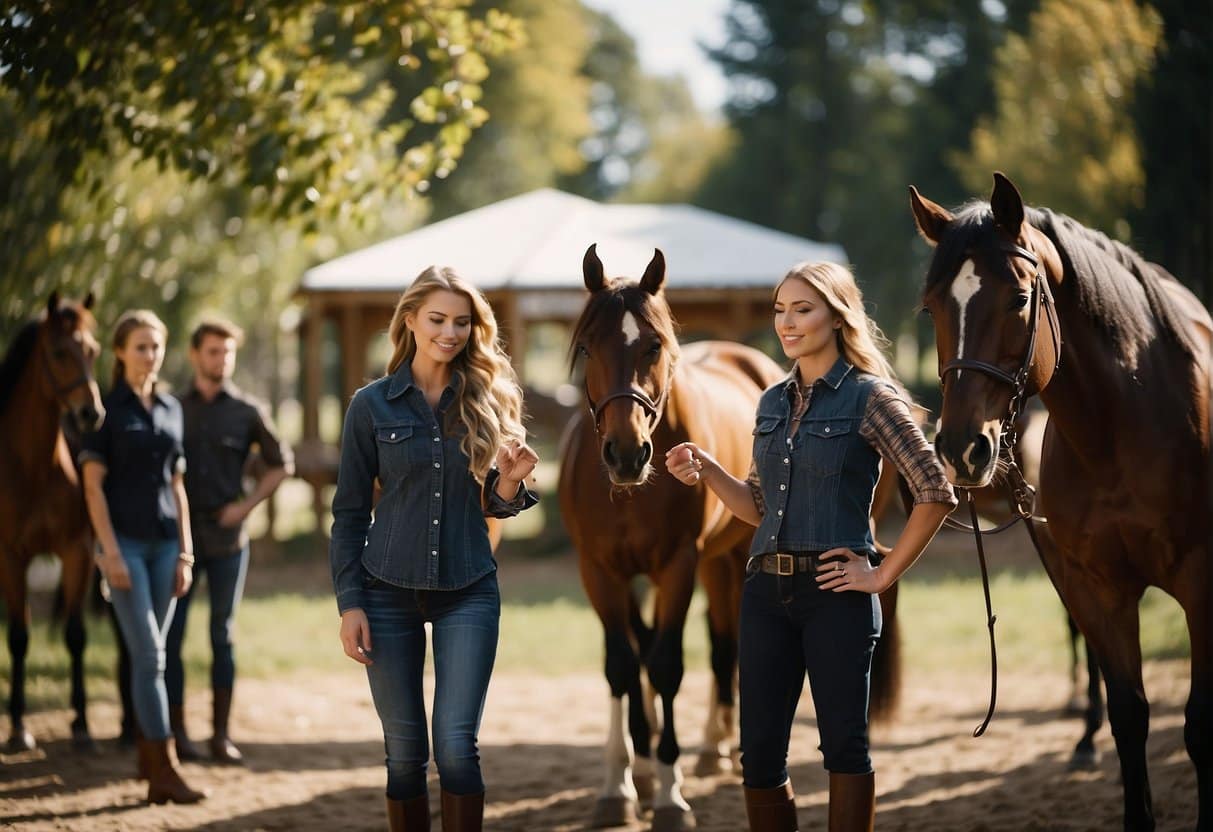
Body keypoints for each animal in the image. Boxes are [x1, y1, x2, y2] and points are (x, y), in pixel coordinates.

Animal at [912, 172, 1208, 829]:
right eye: (932, 306)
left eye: (1020, 299)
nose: (960, 449)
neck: (1121, 426)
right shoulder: (1095, 588)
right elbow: (1130, 718)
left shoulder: (1203, 585)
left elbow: (1200, 723)